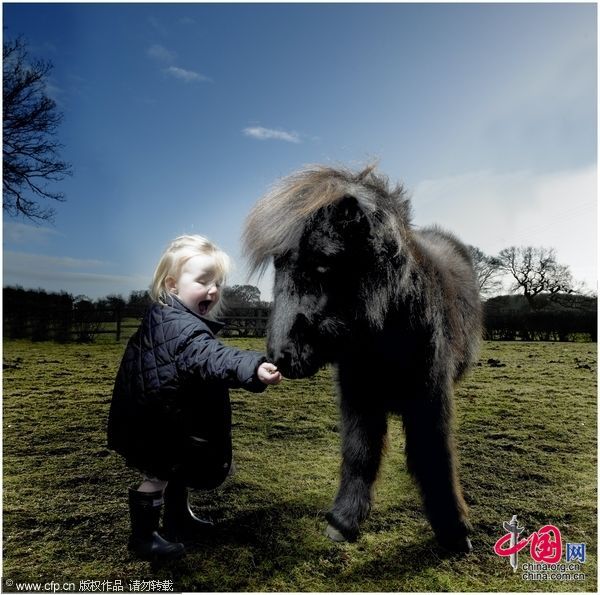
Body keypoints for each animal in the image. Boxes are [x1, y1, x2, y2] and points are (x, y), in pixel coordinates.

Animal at [241, 164, 480, 556]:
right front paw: (344, 520)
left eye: (323, 264)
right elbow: (360, 452)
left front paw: (454, 531)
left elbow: (434, 455)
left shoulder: (430, 396)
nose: (279, 357)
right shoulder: (358, 396)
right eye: (279, 265)